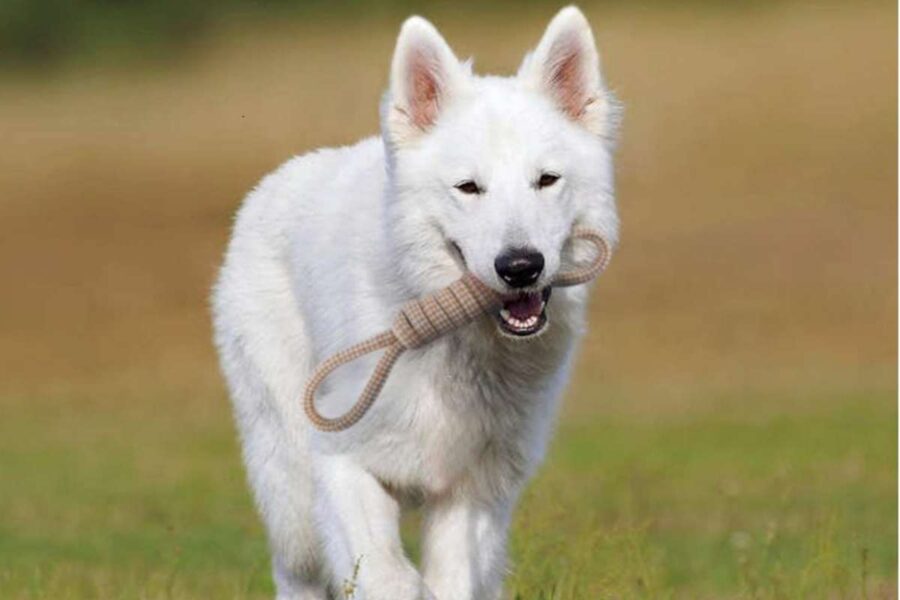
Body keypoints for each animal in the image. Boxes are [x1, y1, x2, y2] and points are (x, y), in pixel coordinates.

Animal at [211, 7, 620, 596]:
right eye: (469, 188)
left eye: (546, 180)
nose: (520, 266)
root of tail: (272, 183)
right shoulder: (340, 464)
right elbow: (390, 575)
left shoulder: (471, 495)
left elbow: (449, 581)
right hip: (292, 494)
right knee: (297, 570)